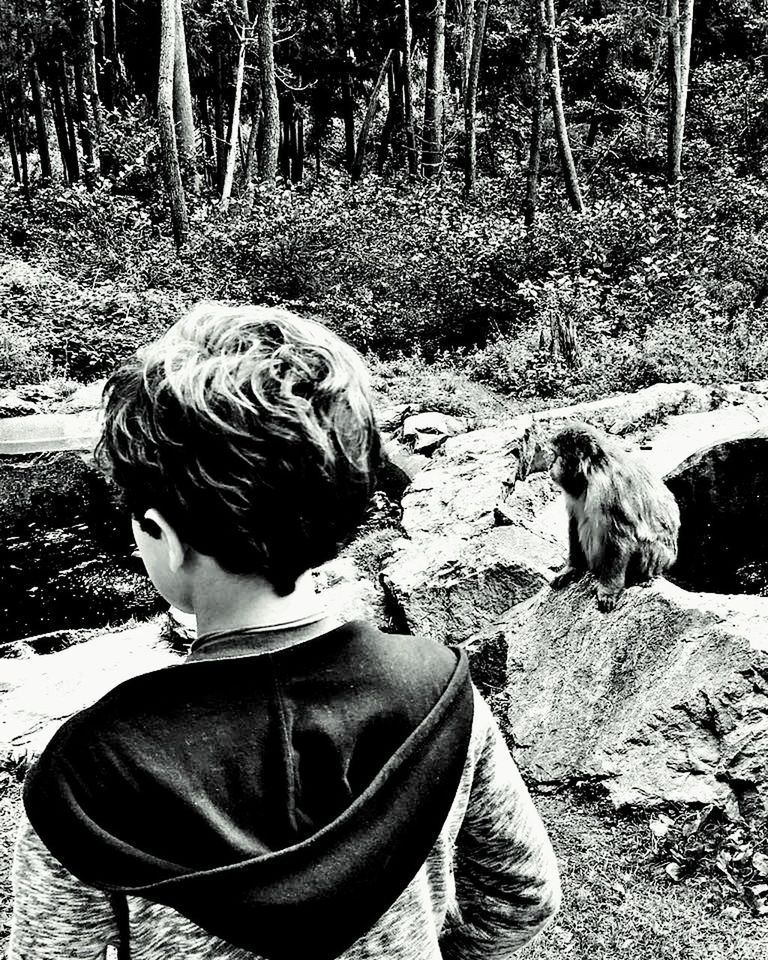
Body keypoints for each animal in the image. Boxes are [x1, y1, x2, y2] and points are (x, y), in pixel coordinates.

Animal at [544, 422, 680, 616]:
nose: (549, 465)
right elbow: (574, 523)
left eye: (556, 455)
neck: (591, 471)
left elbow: (619, 535)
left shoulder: (609, 490)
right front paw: (572, 568)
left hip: (657, 559)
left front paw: (608, 590)